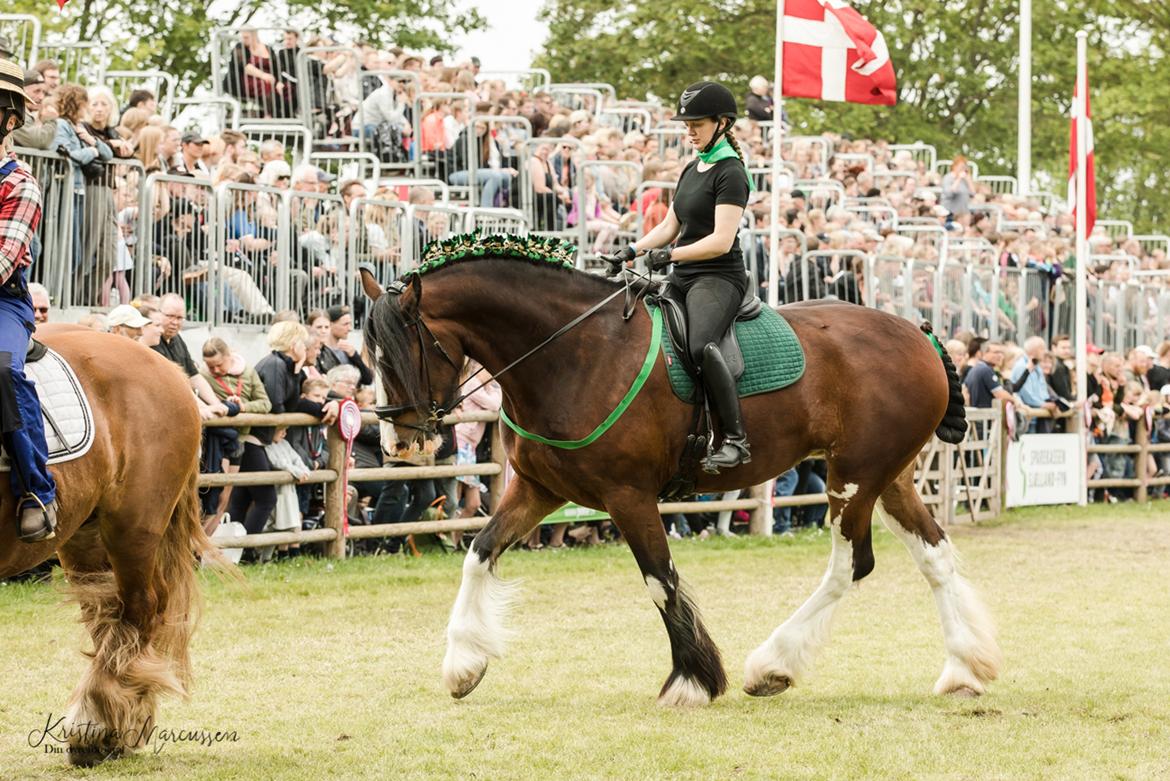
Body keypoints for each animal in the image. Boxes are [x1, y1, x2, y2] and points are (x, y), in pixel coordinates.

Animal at [1, 327, 210, 766]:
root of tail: (170, 368)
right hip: (84, 533)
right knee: (106, 614)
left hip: (133, 528)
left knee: (139, 609)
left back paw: (97, 728)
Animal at [360, 244, 1001, 706]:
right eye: (369, 356)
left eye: (401, 352)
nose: (399, 442)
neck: (573, 353)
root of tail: (918, 334)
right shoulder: (539, 490)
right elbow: (479, 551)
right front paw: (463, 664)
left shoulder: (628, 495)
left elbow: (659, 581)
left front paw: (692, 680)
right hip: (887, 476)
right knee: (934, 556)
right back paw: (963, 668)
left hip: (854, 478)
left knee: (851, 565)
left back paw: (772, 665)